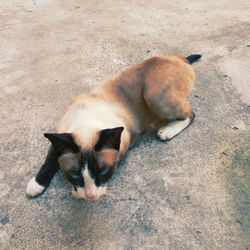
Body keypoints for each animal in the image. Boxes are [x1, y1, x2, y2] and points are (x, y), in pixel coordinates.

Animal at [25, 53, 201, 200]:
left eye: (102, 172)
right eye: (75, 176)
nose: (90, 197)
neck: (87, 121)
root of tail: (180, 58)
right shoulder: (61, 135)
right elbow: (49, 161)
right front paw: (36, 185)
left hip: (154, 97)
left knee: (191, 114)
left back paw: (168, 130)